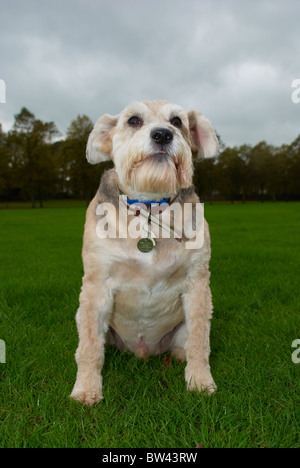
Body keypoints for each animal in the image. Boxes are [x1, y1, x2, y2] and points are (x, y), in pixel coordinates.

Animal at [70, 99, 218, 406]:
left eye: (177, 121)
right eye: (134, 120)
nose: (162, 135)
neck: (149, 209)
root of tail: (143, 351)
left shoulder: (198, 283)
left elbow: (200, 341)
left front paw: (200, 382)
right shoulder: (96, 286)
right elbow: (89, 347)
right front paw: (87, 389)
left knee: (186, 345)